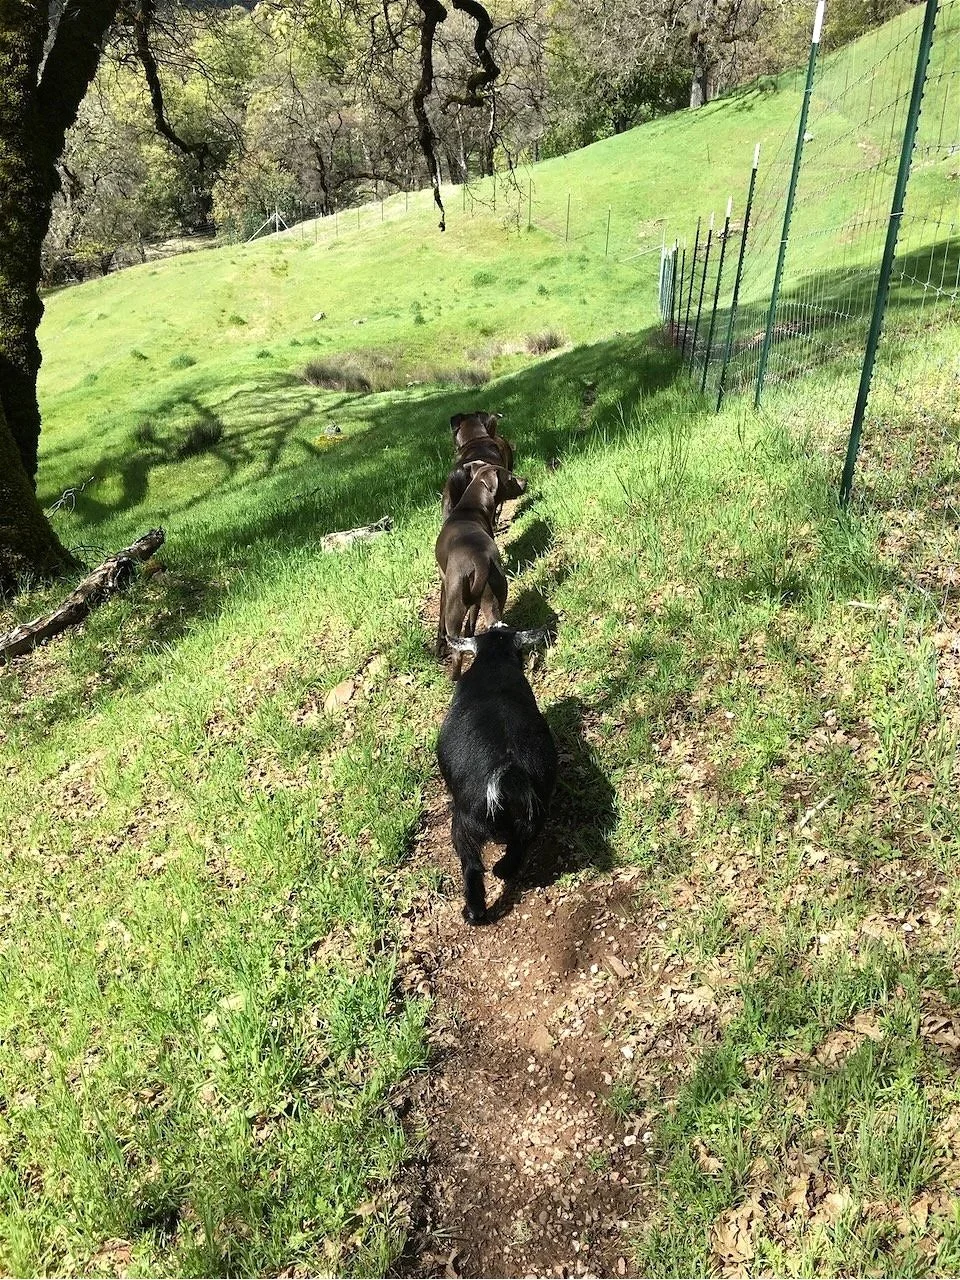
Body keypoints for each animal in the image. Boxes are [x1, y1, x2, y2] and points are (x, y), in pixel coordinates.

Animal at [435, 464, 524, 675]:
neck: (470, 508)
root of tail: (480, 557)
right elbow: (472, 623)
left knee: (456, 651)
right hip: (495, 596)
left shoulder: (444, 583)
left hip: (454, 606)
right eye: (511, 478)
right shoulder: (476, 601)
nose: (525, 481)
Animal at [436, 625, 557, 924]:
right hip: (534, 814)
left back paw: (474, 912)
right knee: (520, 845)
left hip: (464, 824)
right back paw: (503, 869)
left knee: (472, 866)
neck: (494, 664)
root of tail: (508, 774)